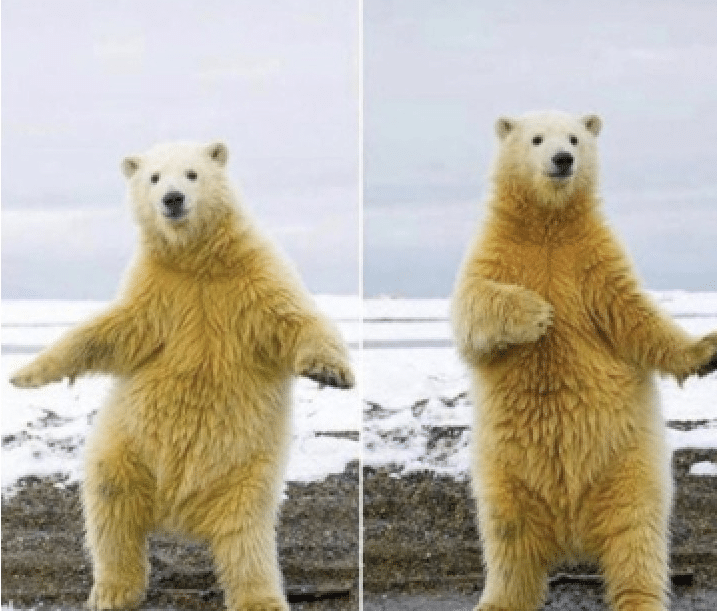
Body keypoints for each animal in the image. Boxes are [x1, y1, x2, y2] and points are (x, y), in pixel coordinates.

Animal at [10, 140, 355, 611]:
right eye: (154, 177)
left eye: (192, 173)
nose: (172, 199)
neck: (198, 261)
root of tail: (178, 514)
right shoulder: (158, 293)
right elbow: (107, 332)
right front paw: (24, 374)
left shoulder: (252, 279)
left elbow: (294, 319)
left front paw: (332, 373)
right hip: (127, 448)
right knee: (110, 507)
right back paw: (113, 591)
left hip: (246, 473)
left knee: (246, 536)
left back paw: (260, 597)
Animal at [451, 111, 717, 611]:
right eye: (536, 139)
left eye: (575, 138)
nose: (562, 159)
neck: (549, 224)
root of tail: (570, 528)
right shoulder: (496, 252)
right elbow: (472, 307)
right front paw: (537, 314)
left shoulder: (594, 261)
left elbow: (636, 316)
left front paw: (705, 350)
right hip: (504, 472)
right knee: (507, 538)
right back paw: (497, 599)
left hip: (627, 464)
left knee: (636, 535)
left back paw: (639, 597)